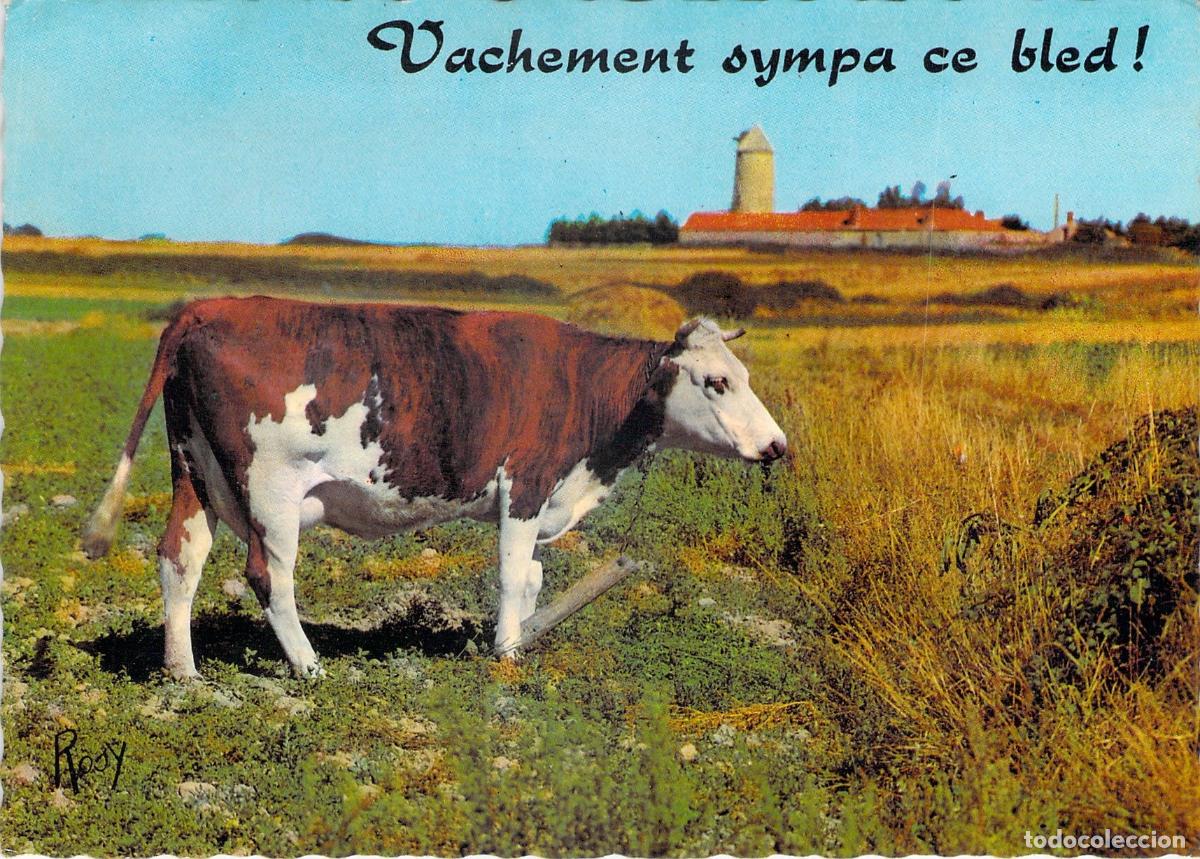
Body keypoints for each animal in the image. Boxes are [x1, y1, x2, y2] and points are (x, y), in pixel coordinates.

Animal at [82, 297, 787, 678]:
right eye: (717, 382)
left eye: (744, 375)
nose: (778, 445)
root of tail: (210, 307)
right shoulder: (525, 484)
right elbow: (512, 574)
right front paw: (506, 653)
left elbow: (532, 579)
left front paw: (519, 636)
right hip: (270, 492)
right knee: (268, 577)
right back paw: (308, 665)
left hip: (194, 473)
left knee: (180, 558)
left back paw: (183, 671)